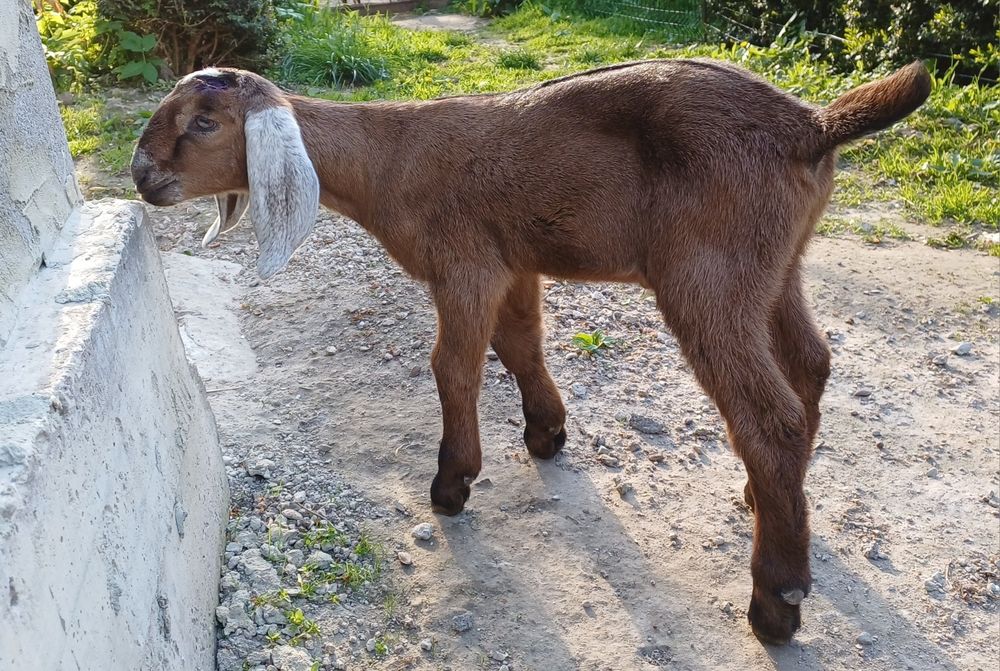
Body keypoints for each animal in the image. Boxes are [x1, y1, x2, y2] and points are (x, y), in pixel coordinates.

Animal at [131, 59, 930, 644]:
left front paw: (452, 483)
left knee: (771, 417)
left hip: (712, 271)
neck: (389, 161)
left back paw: (777, 596)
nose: (142, 177)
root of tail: (813, 126)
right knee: (811, 365)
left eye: (204, 122)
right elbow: (520, 345)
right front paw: (547, 432)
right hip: (777, 263)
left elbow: (453, 368)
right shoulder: (513, 260)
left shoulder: (464, 262)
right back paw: (764, 497)